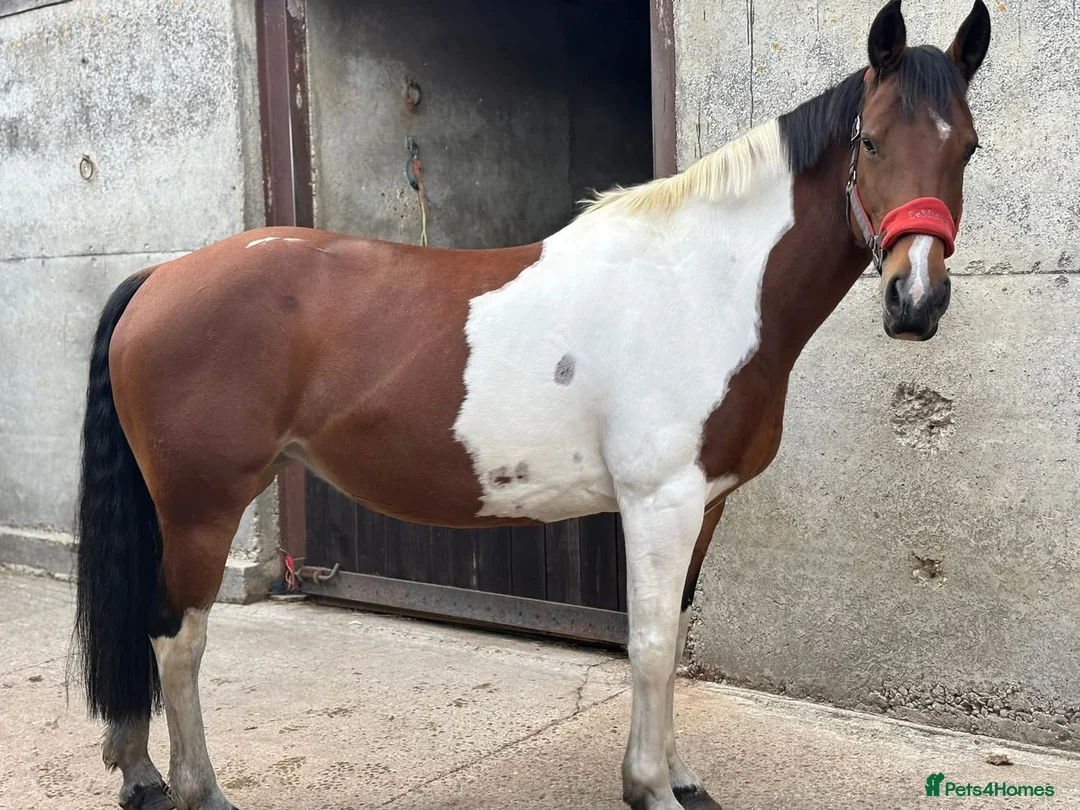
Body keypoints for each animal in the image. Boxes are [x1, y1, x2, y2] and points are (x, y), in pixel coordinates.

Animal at [71, 1, 991, 808]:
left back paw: (140, 775)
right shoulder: (658, 503)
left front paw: (681, 777)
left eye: (971, 149)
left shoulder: (703, 505)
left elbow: (674, 634)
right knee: (176, 638)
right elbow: (650, 644)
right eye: (869, 141)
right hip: (202, 506)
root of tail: (160, 276)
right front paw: (649, 787)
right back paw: (198, 788)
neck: (703, 284)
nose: (915, 302)